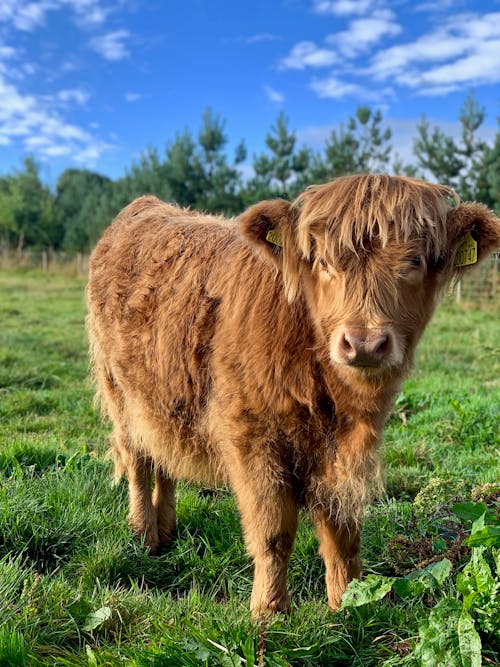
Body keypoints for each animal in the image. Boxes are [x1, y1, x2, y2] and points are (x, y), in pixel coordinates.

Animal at [87, 175, 500, 620]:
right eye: (324, 262)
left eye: (414, 262)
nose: (364, 343)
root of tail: (146, 206)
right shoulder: (252, 439)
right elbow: (273, 533)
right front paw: (268, 612)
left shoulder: (345, 456)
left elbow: (342, 533)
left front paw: (347, 604)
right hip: (119, 392)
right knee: (137, 459)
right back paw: (143, 533)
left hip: (164, 394)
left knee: (163, 456)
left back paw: (165, 532)